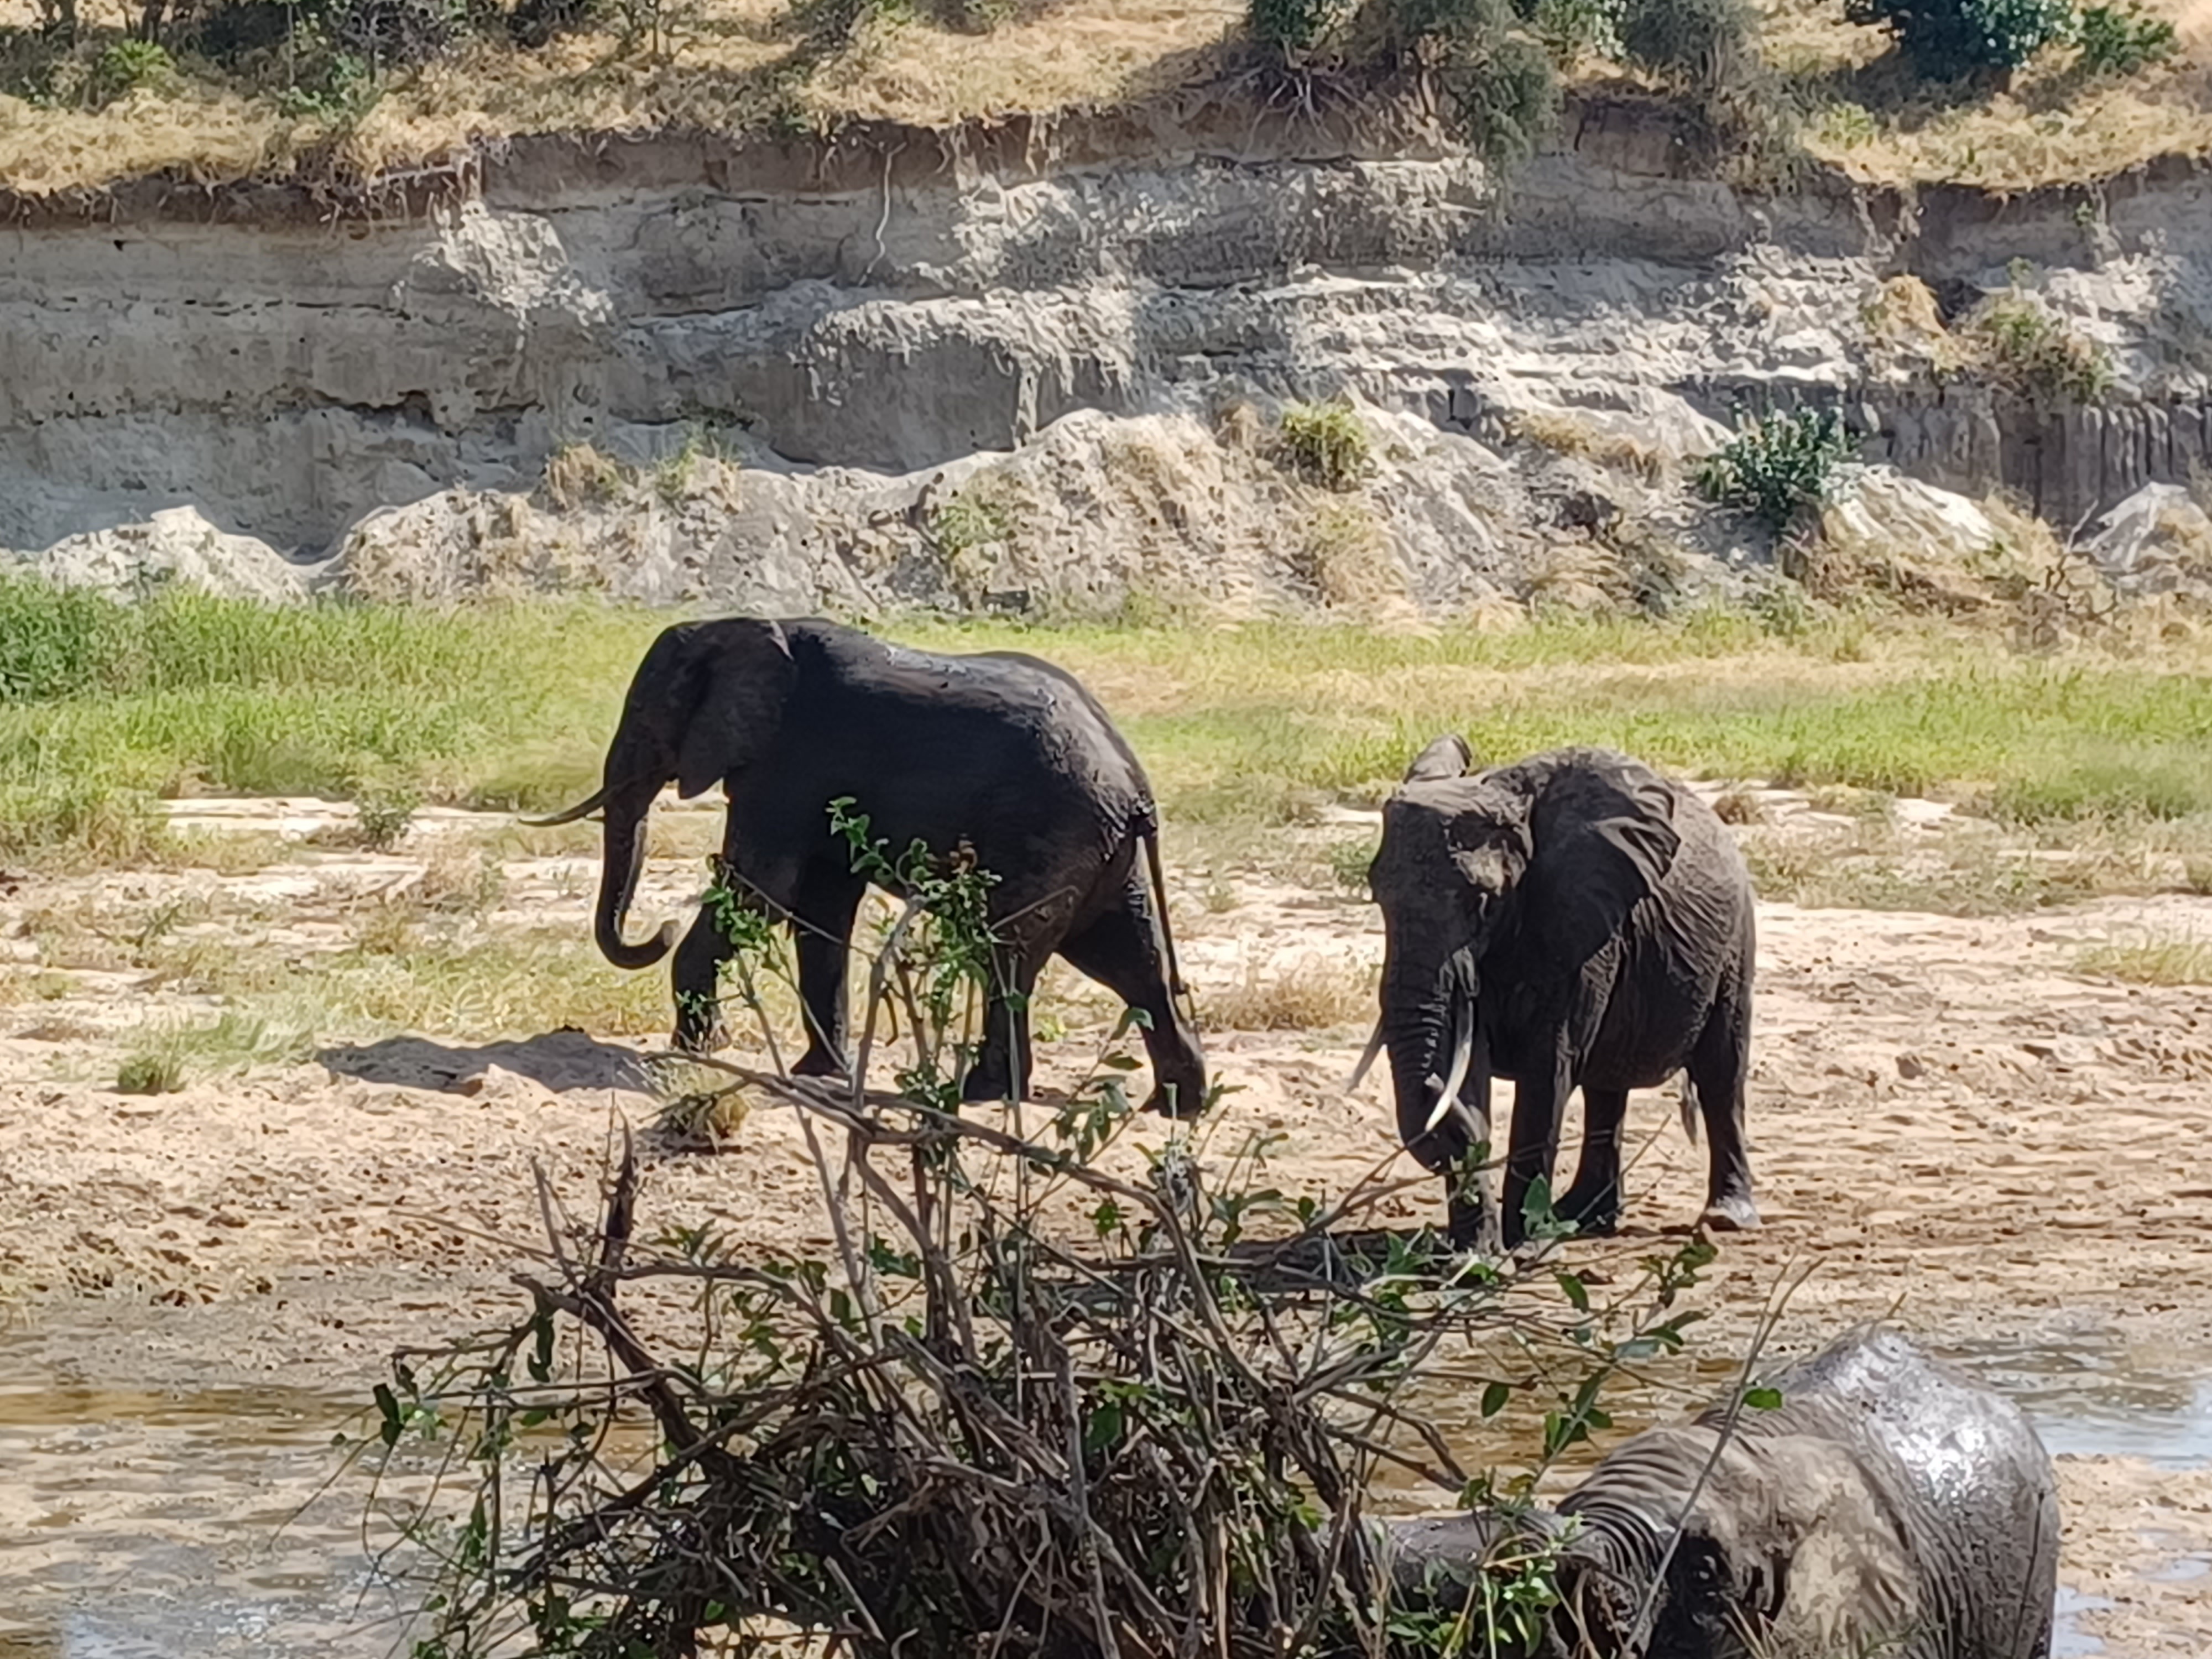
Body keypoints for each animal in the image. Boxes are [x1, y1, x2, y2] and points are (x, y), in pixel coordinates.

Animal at [529, 619, 1212, 1124]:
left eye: (645, 722)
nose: (659, 928)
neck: (741, 626)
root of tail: (1137, 787)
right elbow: (821, 907)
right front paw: (816, 1074)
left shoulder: (786, 767)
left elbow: (762, 892)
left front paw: (695, 1052)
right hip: (1101, 849)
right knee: (1128, 958)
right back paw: (1175, 1106)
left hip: (1051, 833)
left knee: (1008, 951)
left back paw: (980, 1093)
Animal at [1345, 748, 1761, 1256]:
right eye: (1378, 895)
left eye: (1482, 900)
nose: (1430, 1088)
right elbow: (1471, 1066)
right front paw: (1473, 1253)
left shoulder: (1579, 924)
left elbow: (1548, 1068)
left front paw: (1521, 1248)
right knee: (1606, 1088)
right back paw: (1583, 1217)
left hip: (1735, 942)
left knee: (1721, 1073)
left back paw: (1727, 1218)